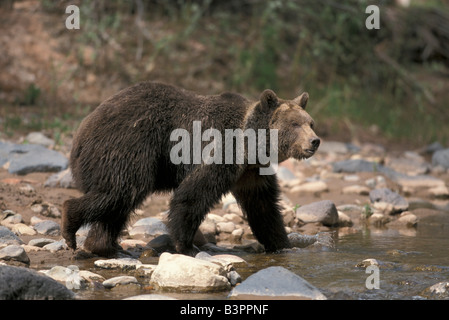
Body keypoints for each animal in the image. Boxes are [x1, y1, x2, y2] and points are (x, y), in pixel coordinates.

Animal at [62, 81, 318, 256]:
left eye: (310, 123)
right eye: (295, 124)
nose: (314, 141)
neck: (250, 146)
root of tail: (80, 134)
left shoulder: (251, 173)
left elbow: (264, 207)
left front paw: (283, 245)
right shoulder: (221, 150)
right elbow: (192, 195)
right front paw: (185, 245)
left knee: (116, 205)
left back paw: (102, 245)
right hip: (128, 145)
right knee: (120, 191)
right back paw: (70, 223)